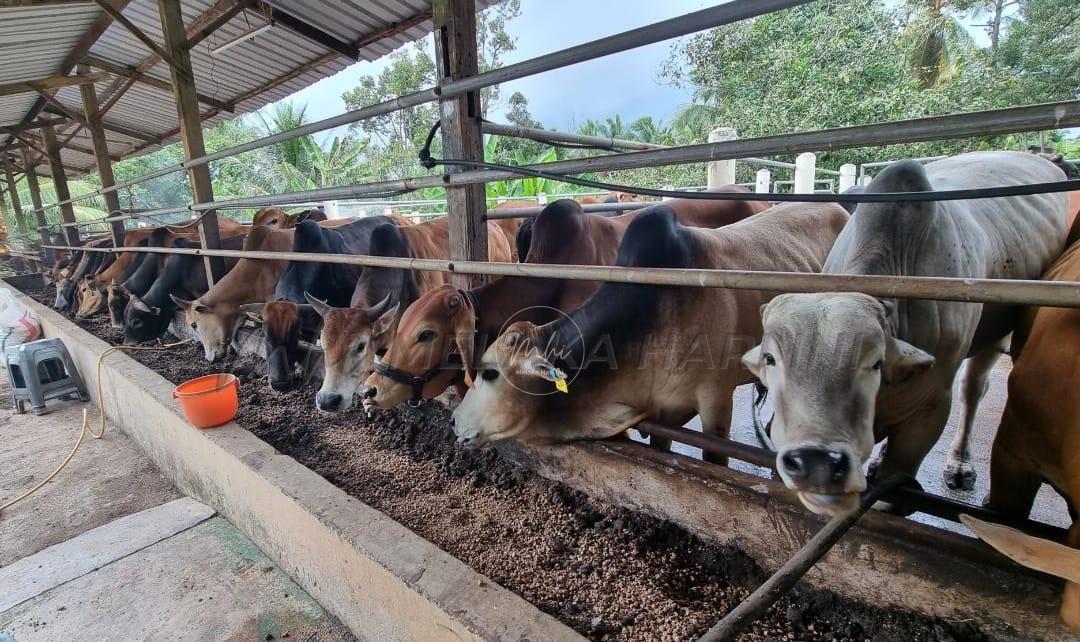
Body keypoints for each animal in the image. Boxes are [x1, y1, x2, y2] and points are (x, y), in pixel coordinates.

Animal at [743, 151, 1071, 514]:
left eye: (875, 363)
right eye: (771, 359)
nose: (816, 462)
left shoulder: (931, 408)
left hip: (995, 337)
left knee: (972, 390)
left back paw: (960, 466)